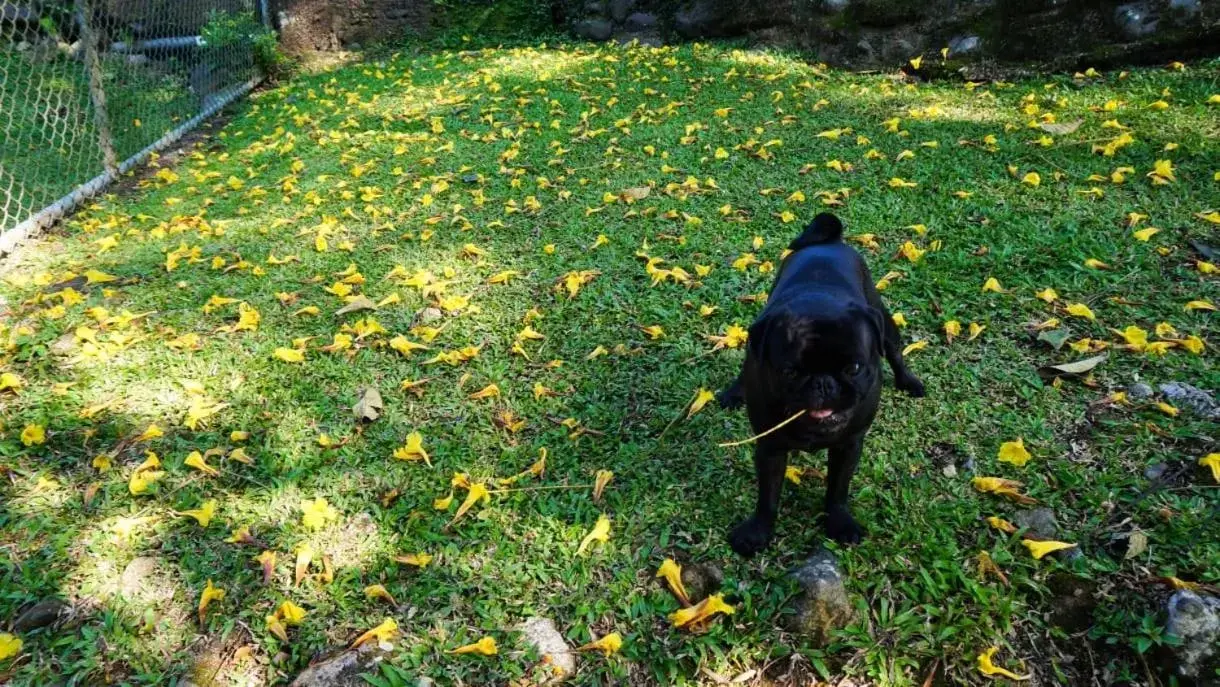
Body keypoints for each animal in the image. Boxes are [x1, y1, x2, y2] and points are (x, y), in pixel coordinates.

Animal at [712, 212, 922, 556]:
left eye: (854, 368)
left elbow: (838, 489)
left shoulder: (849, 444)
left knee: (894, 351)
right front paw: (758, 532)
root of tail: (830, 242)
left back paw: (910, 382)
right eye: (789, 372)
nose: (823, 384)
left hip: (885, 320)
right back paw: (733, 392)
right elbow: (768, 495)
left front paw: (839, 522)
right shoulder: (770, 447)